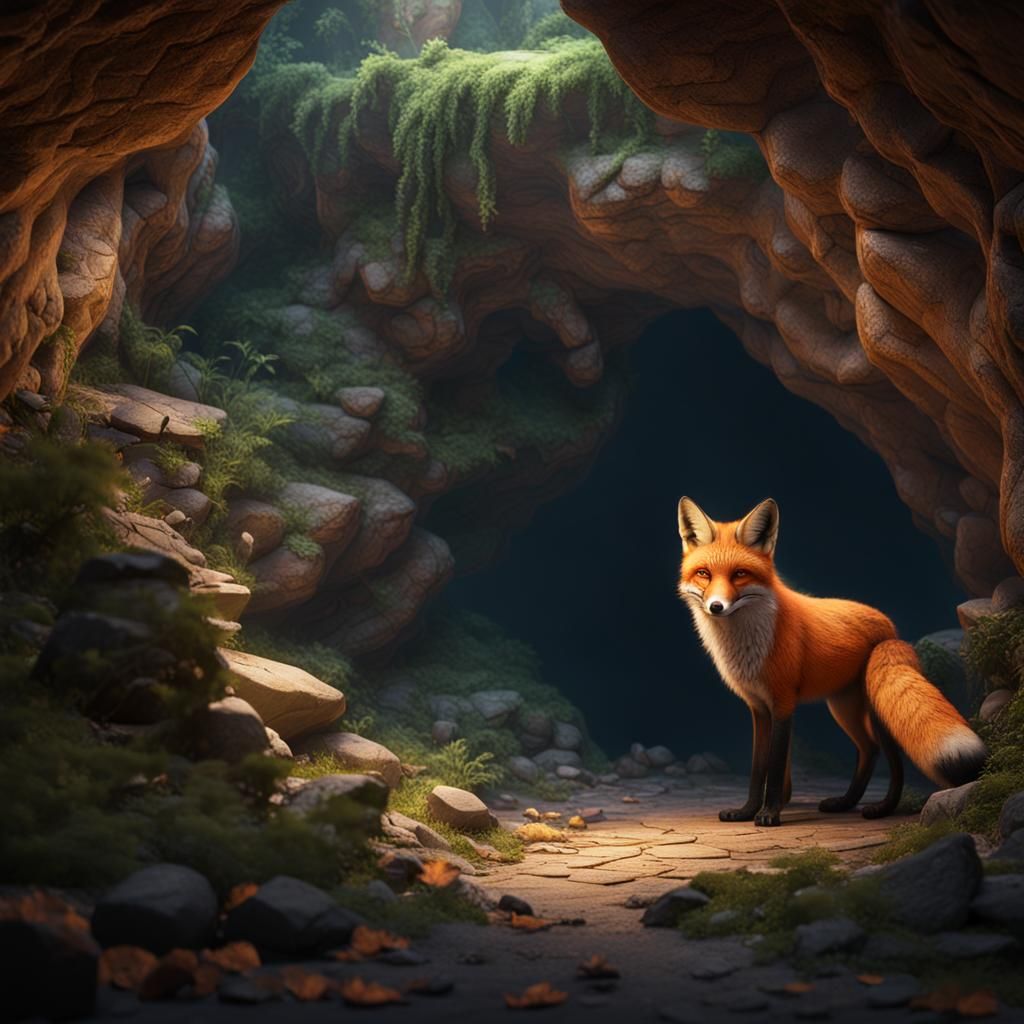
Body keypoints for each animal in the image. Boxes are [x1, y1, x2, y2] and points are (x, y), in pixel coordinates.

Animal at [676, 496, 987, 827]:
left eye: (739, 574)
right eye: (704, 574)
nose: (716, 606)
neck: (748, 644)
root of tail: (888, 627)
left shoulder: (783, 703)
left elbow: (775, 766)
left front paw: (770, 813)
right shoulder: (759, 708)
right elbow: (759, 767)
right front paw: (747, 811)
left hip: (876, 706)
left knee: (891, 757)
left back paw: (882, 808)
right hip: (843, 707)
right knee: (868, 749)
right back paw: (845, 802)